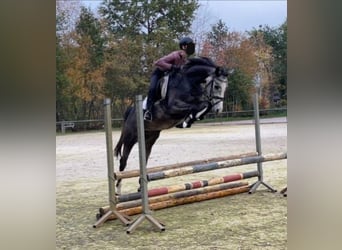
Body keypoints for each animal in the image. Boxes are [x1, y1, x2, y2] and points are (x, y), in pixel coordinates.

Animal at [115, 56, 230, 193]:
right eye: (217, 86)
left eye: (225, 87)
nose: (218, 110)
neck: (188, 82)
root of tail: (130, 112)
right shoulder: (172, 107)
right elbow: (201, 105)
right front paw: (190, 118)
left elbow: (203, 105)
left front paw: (191, 119)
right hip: (130, 138)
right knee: (123, 161)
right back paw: (118, 190)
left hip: (149, 139)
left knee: (144, 160)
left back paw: (141, 187)